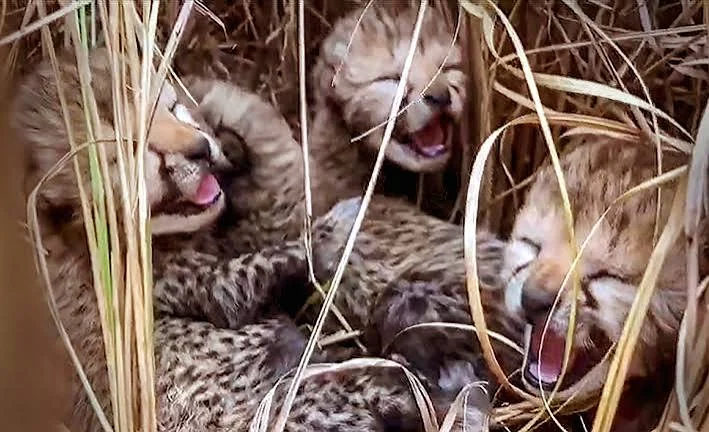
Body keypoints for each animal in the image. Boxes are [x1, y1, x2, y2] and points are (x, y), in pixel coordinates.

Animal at [15, 48, 464, 432]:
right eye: (132, 152)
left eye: (172, 108)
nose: (200, 149)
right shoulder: (186, 287)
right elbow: (258, 270)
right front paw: (335, 231)